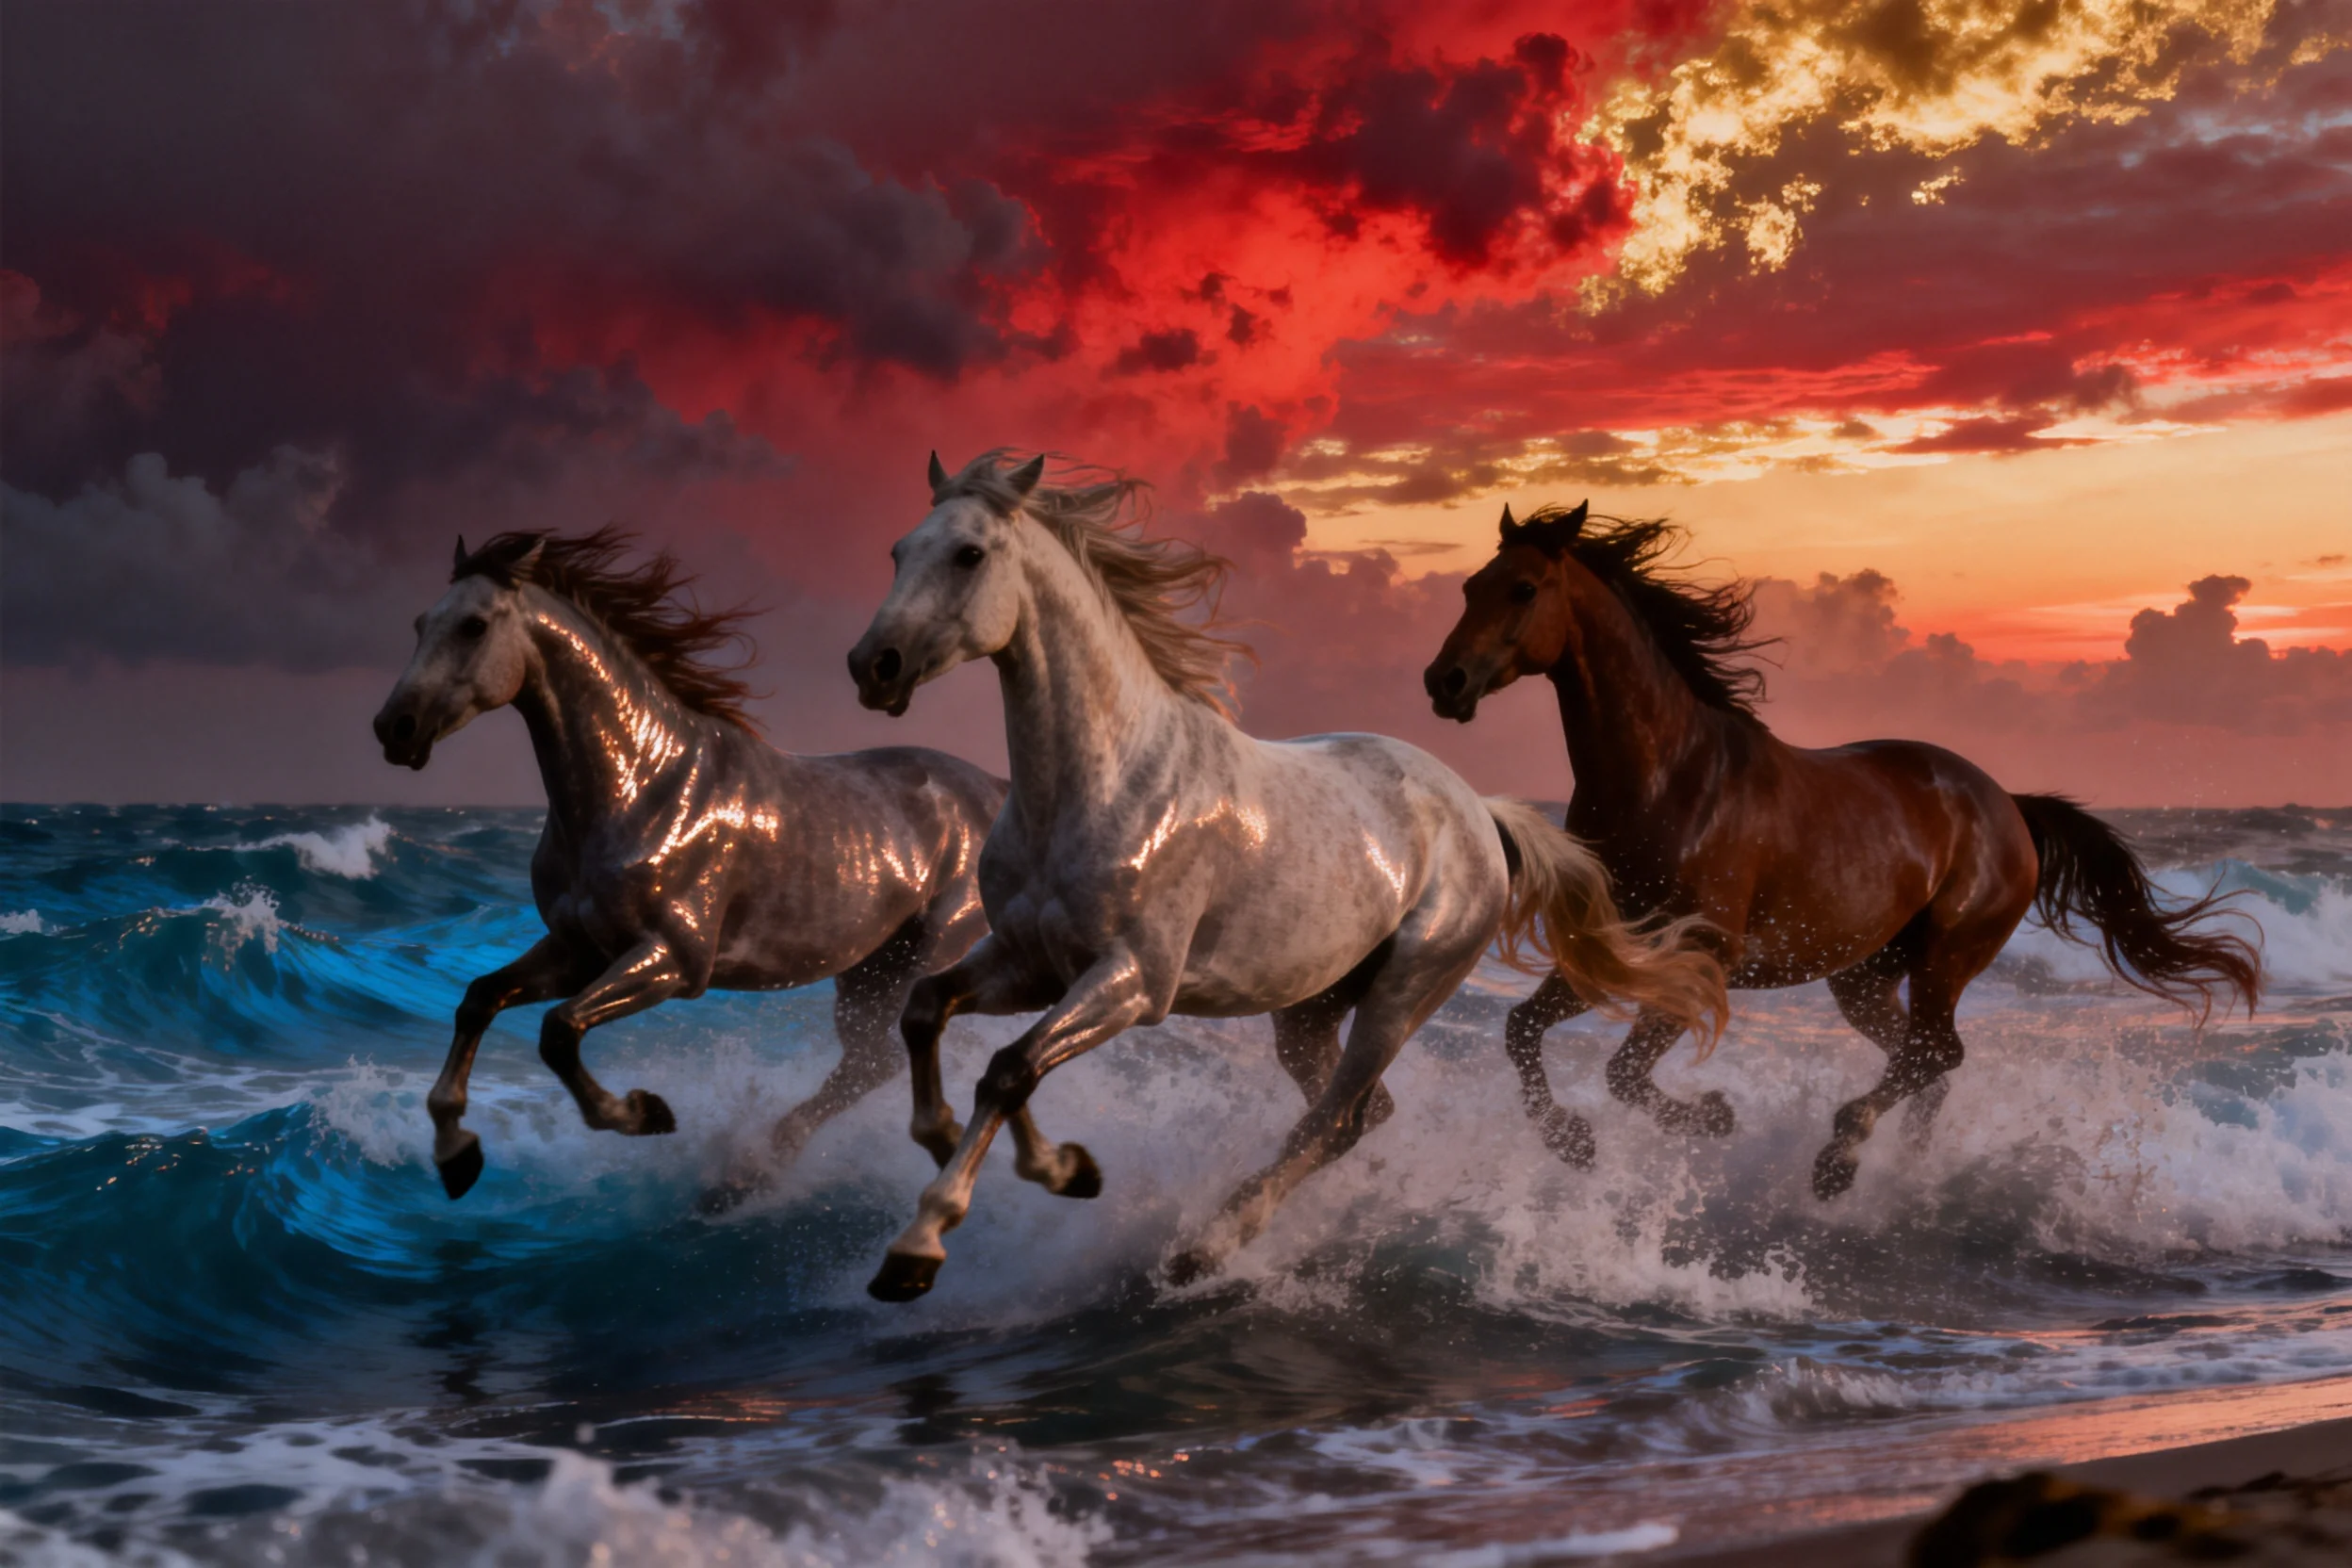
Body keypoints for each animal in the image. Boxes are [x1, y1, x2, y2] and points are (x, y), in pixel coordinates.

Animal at [372, 527, 1009, 1207]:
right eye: (420, 623)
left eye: (473, 625)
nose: (394, 729)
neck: (640, 783)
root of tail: (995, 791)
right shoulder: (579, 952)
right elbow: (479, 999)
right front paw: (456, 1154)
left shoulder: (673, 960)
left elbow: (559, 1030)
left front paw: (643, 1113)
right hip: (866, 973)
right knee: (868, 1063)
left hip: (924, 958)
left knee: (874, 1062)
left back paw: (749, 1174)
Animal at [843, 451, 1728, 1301]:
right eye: (896, 551)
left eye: (969, 553)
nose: (872, 666)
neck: (1100, 781)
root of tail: (1479, 810)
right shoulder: (1029, 963)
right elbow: (930, 1013)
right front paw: (1045, 1164)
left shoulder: (1134, 982)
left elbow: (1009, 1069)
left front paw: (918, 1250)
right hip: (1308, 1010)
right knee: (1358, 1113)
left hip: (1405, 991)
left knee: (1336, 1120)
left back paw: (1204, 1249)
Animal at [1421, 501, 2264, 1199]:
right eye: (1468, 586)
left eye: (1524, 589)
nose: (1444, 680)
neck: (1670, 779)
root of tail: (2007, 805)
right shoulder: (1613, 951)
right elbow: (1521, 1032)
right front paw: (1571, 1143)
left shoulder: (1701, 954)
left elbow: (1624, 1072)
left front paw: (1714, 1118)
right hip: (1864, 978)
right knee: (1925, 1061)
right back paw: (1902, 1166)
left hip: (1948, 955)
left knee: (1936, 1053)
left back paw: (1839, 1156)